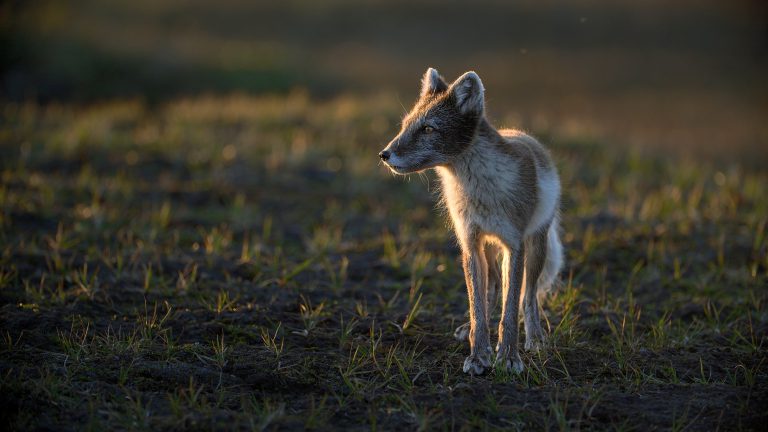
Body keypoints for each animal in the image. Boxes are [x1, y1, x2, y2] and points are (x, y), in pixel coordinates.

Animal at [379, 68, 564, 375]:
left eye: (428, 129)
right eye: (405, 126)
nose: (384, 154)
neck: (479, 190)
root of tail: (525, 136)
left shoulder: (514, 245)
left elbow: (511, 309)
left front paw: (508, 356)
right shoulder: (470, 242)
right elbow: (478, 306)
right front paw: (479, 355)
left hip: (535, 244)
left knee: (529, 295)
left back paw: (535, 337)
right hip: (487, 248)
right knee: (492, 287)